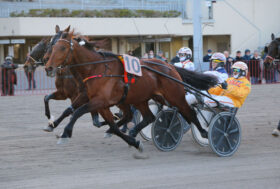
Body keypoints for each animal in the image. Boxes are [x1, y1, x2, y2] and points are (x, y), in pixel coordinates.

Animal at [44, 29, 218, 151]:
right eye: (51, 45)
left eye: (62, 47)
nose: (48, 67)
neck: (97, 68)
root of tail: (169, 66)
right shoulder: (96, 101)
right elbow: (110, 125)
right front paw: (133, 141)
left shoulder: (99, 101)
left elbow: (77, 112)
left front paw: (65, 133)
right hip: (142, 98)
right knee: (149, 117)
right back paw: (134, 131)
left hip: (175, 96)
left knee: (190, 113)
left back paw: (204, 132)